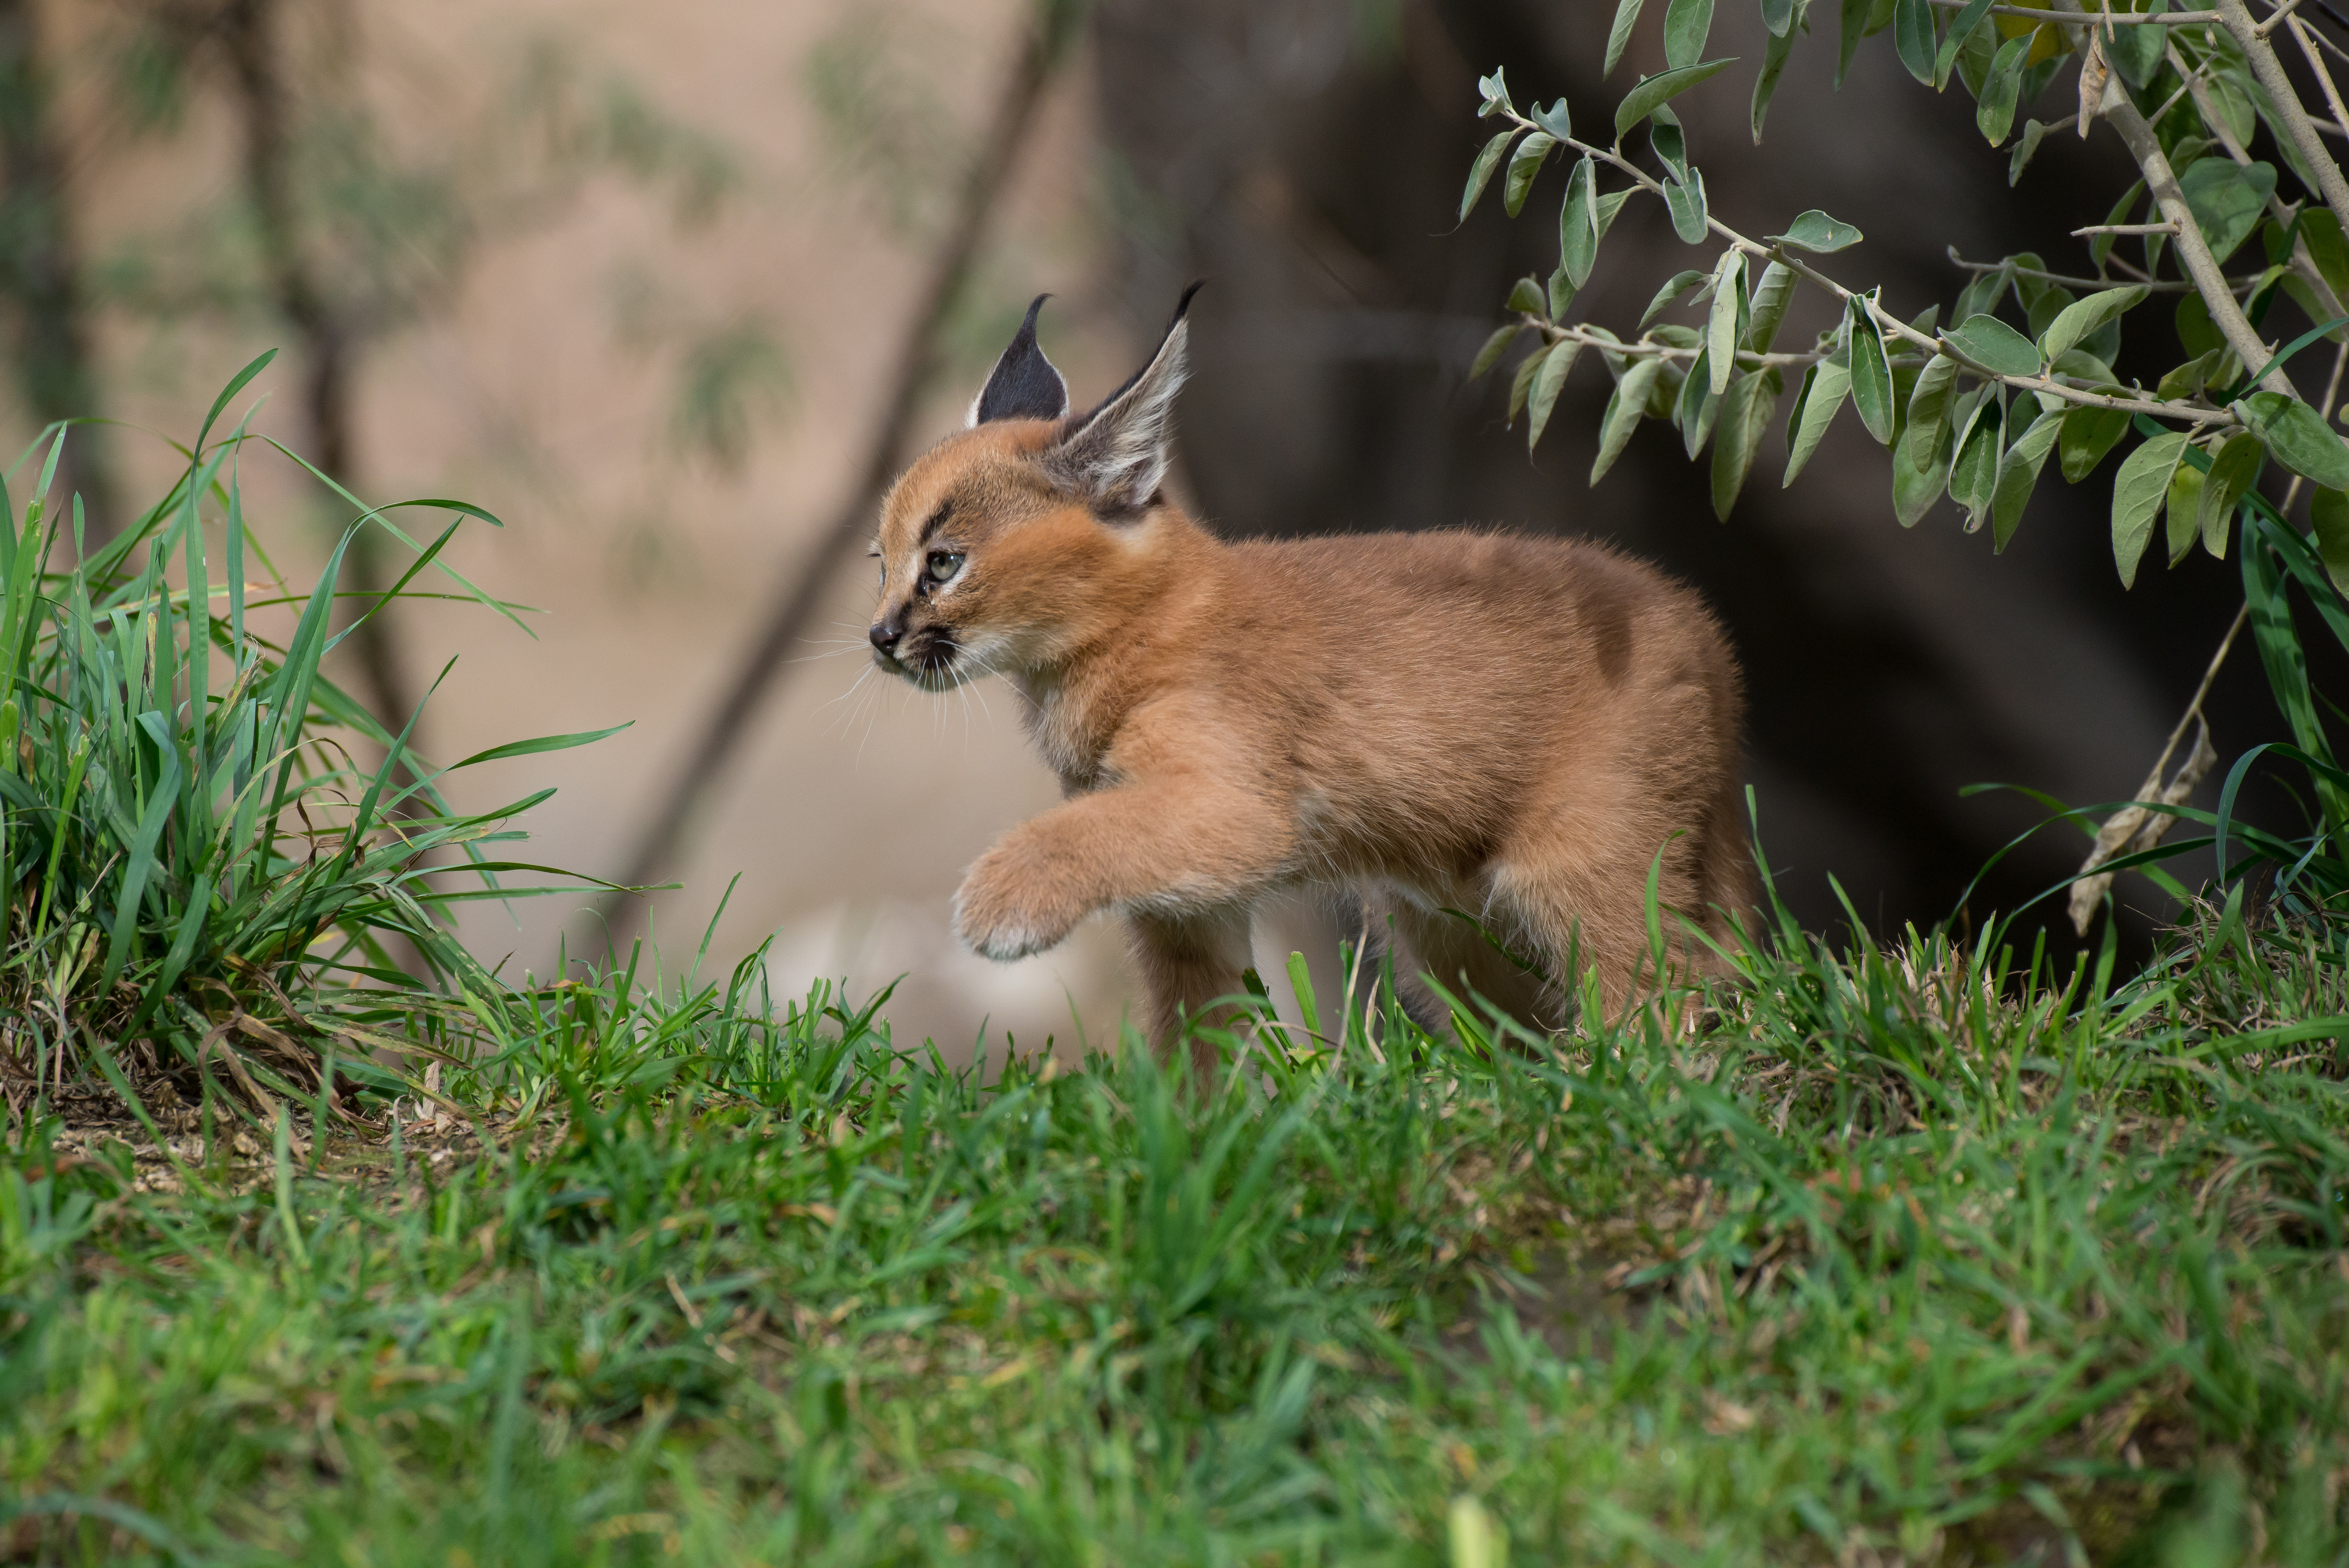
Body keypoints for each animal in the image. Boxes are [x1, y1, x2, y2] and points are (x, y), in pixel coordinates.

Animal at [864, 287, 1747, 1070]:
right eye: (880, 561)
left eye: (943, 563)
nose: (879, 637)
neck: (1111, 637)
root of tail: (1693, 616)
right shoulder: (1185, 898)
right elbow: (1198, 1025)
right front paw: (1193, 1125)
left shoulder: (1236, 809)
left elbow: (1090, 831)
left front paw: (1000, 899)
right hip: (1450, 921)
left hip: (1580, 863)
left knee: (1672, 995)